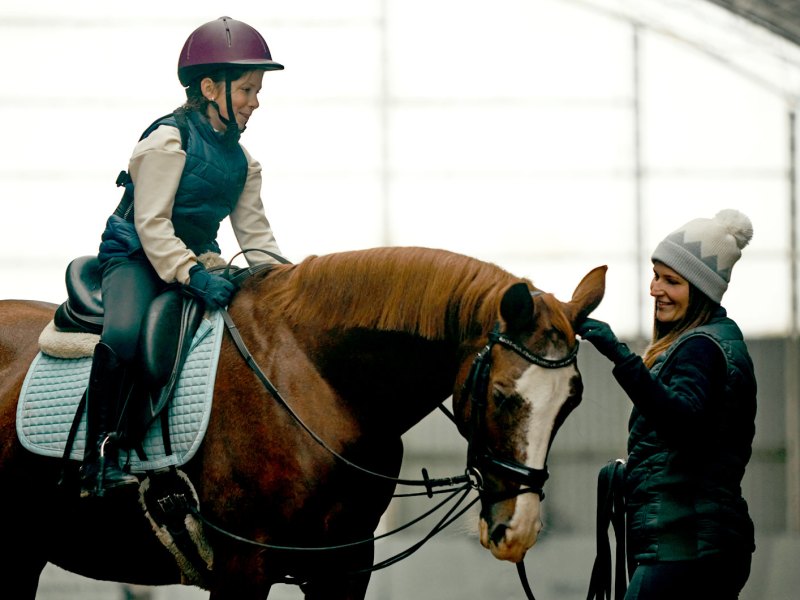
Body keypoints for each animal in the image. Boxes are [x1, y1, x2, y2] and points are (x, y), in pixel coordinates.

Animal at [0, 246, 604, 596]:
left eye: (573, 400)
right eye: (501, 395)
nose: (516, 531)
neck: (320, 384)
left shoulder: (345, 564)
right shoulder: (243, 566)